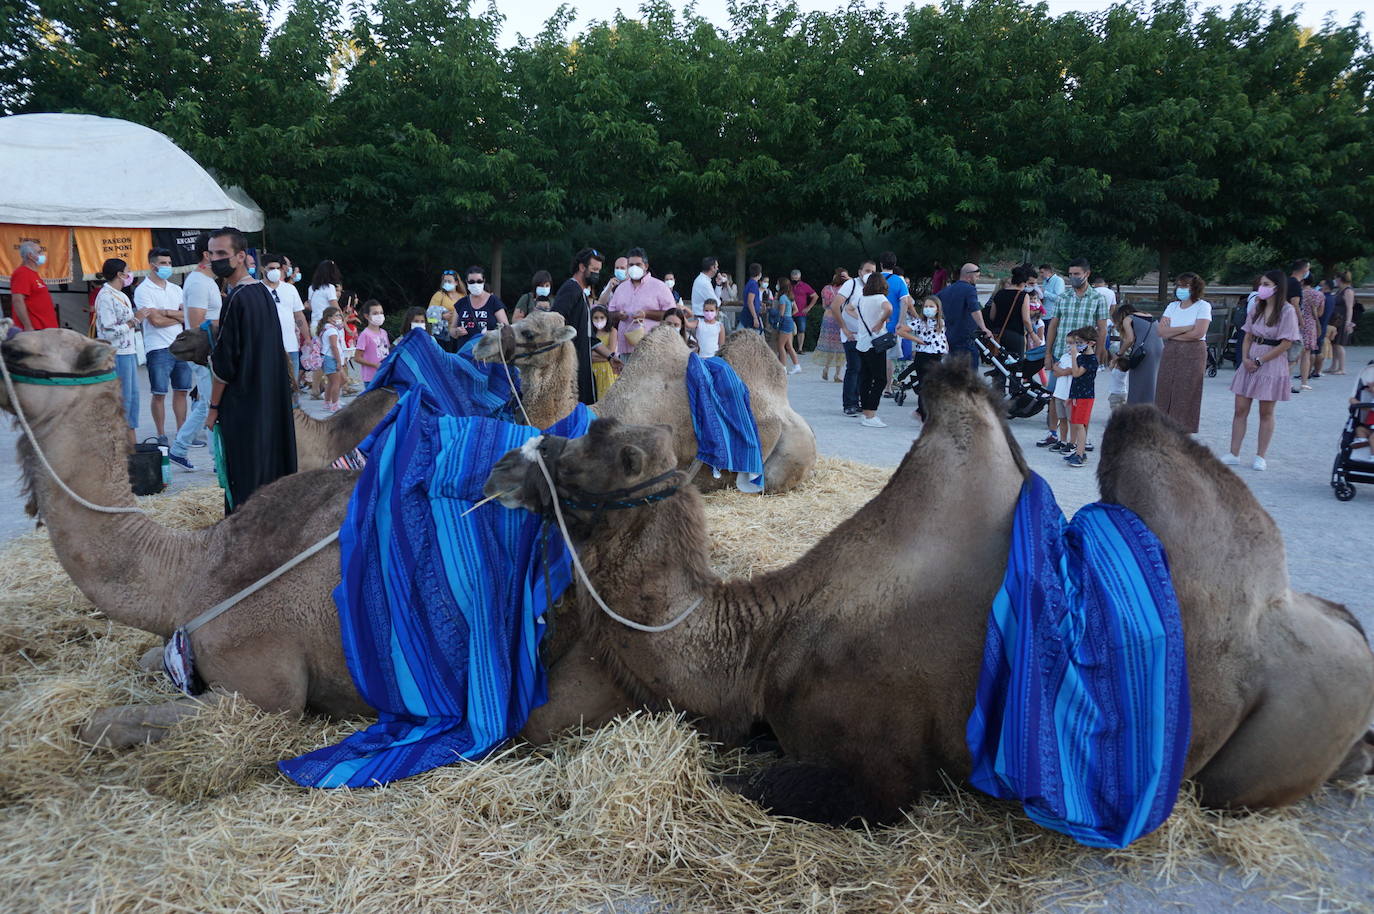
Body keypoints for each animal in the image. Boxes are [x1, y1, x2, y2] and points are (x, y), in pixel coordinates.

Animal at [486, 368, 1374, 824]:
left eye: (604, 450)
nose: (505, 463)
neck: (762, 644)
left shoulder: (879, 769)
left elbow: (750, 782)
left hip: (1258, 756)